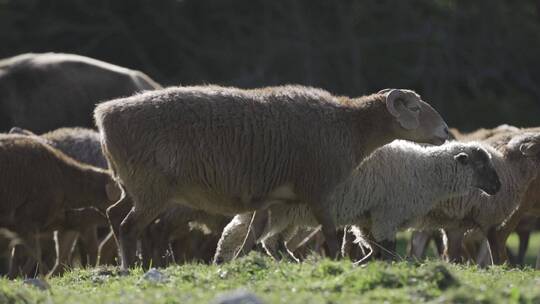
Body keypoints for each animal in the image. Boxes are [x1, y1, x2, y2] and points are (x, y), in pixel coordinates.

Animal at [95, 85, 450, 268]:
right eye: (415, 108)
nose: (446, 131)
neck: (350, 127)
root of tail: (105, 115)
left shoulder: (269, 198)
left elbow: (253, 235)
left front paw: (236, 265)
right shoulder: (319, 190)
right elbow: (331, 233)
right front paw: (335, 264)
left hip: (132, 188)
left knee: (114, 215)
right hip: (151, 191)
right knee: (128, 227)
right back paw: (129, 267)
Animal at [213, 140, 500, 262]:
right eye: (481, 164)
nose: (498, 187)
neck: (425, 172)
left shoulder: (368, 218)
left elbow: (376, 250)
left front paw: (359, 265)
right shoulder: (386, 215)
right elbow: (387, 251)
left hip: (285, 213)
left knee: (263, 239)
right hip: (279, 211)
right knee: (251, 236)